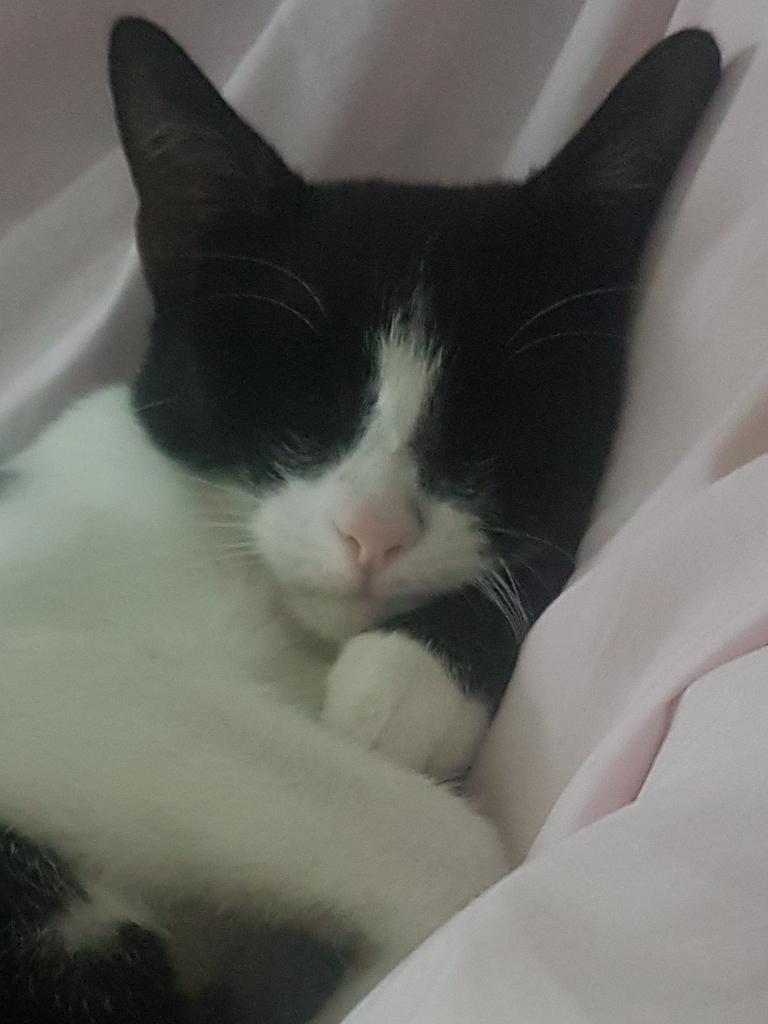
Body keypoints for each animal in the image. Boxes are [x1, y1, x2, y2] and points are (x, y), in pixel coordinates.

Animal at [0, 14, 720, 1024]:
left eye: (489, 421)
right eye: (303, 401)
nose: (373, 532)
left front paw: (415, 678)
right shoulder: (46, 672)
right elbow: (451, 863)